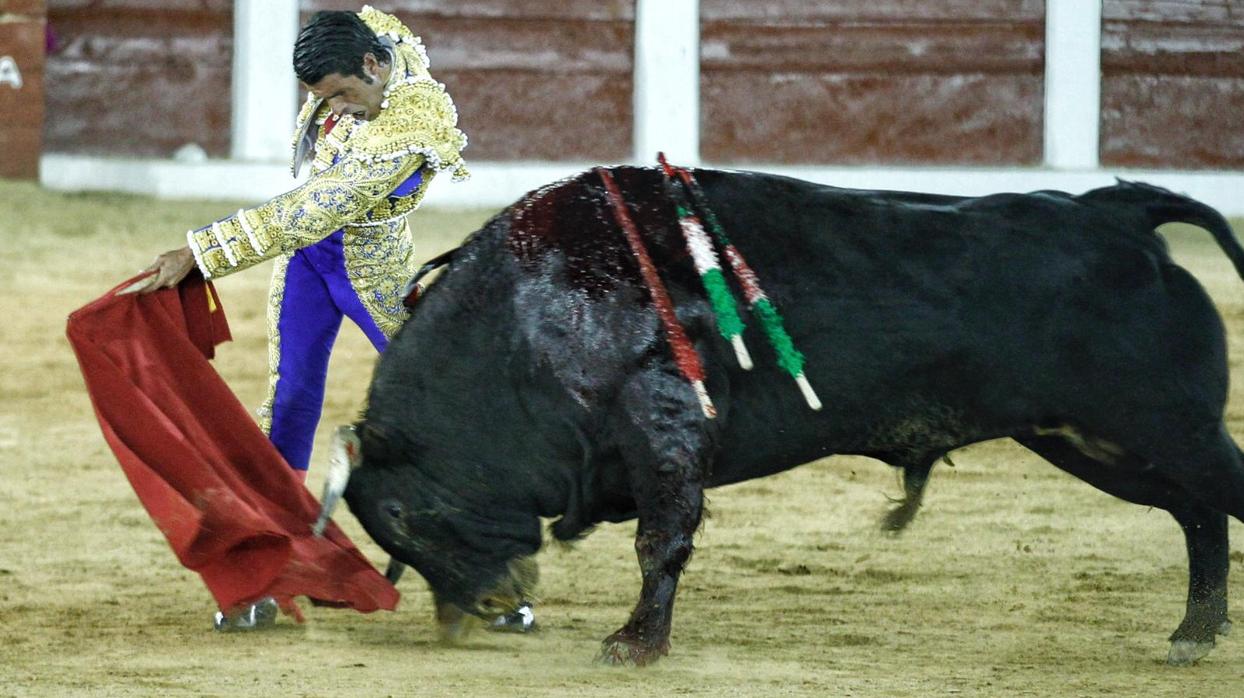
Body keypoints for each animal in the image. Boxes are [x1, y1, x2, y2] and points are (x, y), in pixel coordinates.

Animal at [333, 167, 1244, 661]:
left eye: (403, 515)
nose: (475, 616)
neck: (527, 316)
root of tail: (1114, 213)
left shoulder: (667, 431)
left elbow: (661, 540)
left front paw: (636, 645)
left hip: (1170, 429)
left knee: (1213, 503)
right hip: (1097, 442)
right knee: (1198, 517)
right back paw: (1194, 632)